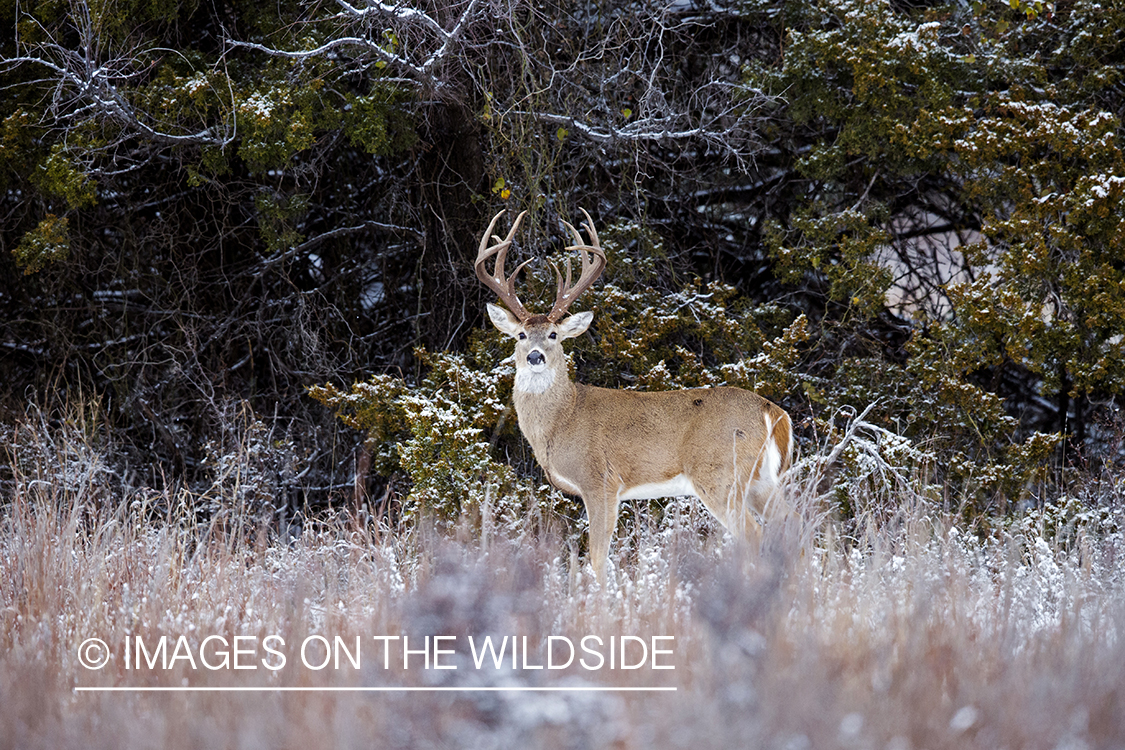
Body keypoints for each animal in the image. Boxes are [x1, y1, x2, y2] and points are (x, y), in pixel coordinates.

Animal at [474, 210, 792, 580]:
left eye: (553, 334)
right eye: (521, 335)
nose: (535, 356)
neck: (561, 421)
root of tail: (774, 412)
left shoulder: (600, 481)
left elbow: (598, 558)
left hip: (721, 475)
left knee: (753, 534)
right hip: (762, 481)